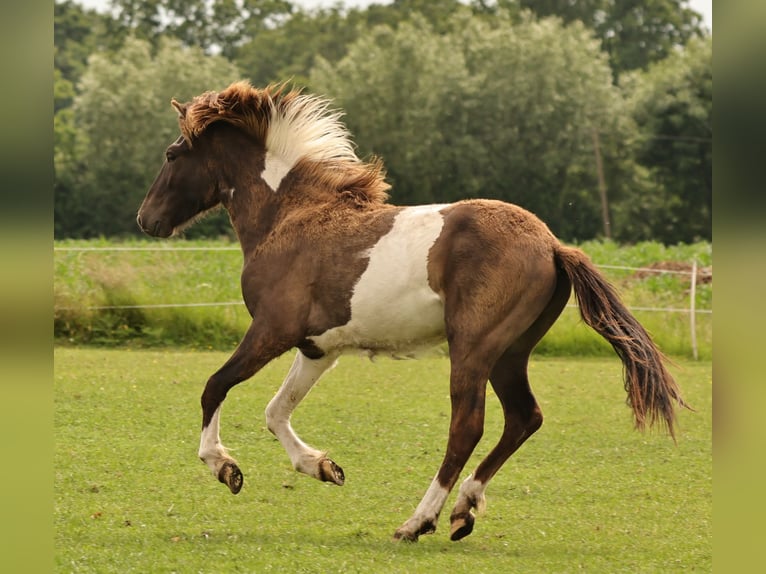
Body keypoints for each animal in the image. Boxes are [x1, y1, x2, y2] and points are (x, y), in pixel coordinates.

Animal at [136, 81, 687, 542]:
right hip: (510, 353)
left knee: (468, 426)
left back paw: (418, 521)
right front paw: (323, 467)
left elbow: (215, 386)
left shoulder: (273, 328)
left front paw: (224, 467)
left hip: (472, 348)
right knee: (523, 418)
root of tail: (553, 244)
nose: (146, 220)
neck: (290, 216)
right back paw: (463, 510)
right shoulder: (317, 347)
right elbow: (276, 410)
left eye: (171, 153)